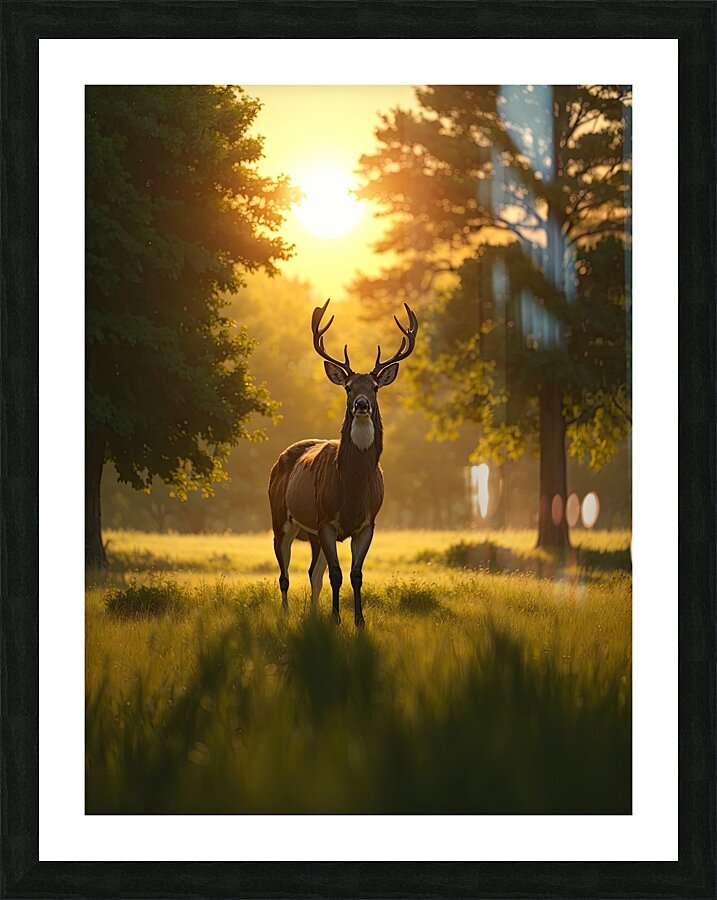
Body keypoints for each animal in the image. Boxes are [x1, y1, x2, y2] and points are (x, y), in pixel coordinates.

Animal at [268, 299, 418, 627]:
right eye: (348, 386)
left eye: (374, 387)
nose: (361, 405)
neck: (352, 488)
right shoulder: (326, 520)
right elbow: (336, 575)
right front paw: (336, 619)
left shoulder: (368, 523)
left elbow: (355, 574)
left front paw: (359, 620)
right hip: (280, 518)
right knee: (285, 575)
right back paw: (284, 615)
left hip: (311, 532)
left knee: (313, 573)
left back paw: (313, 615)